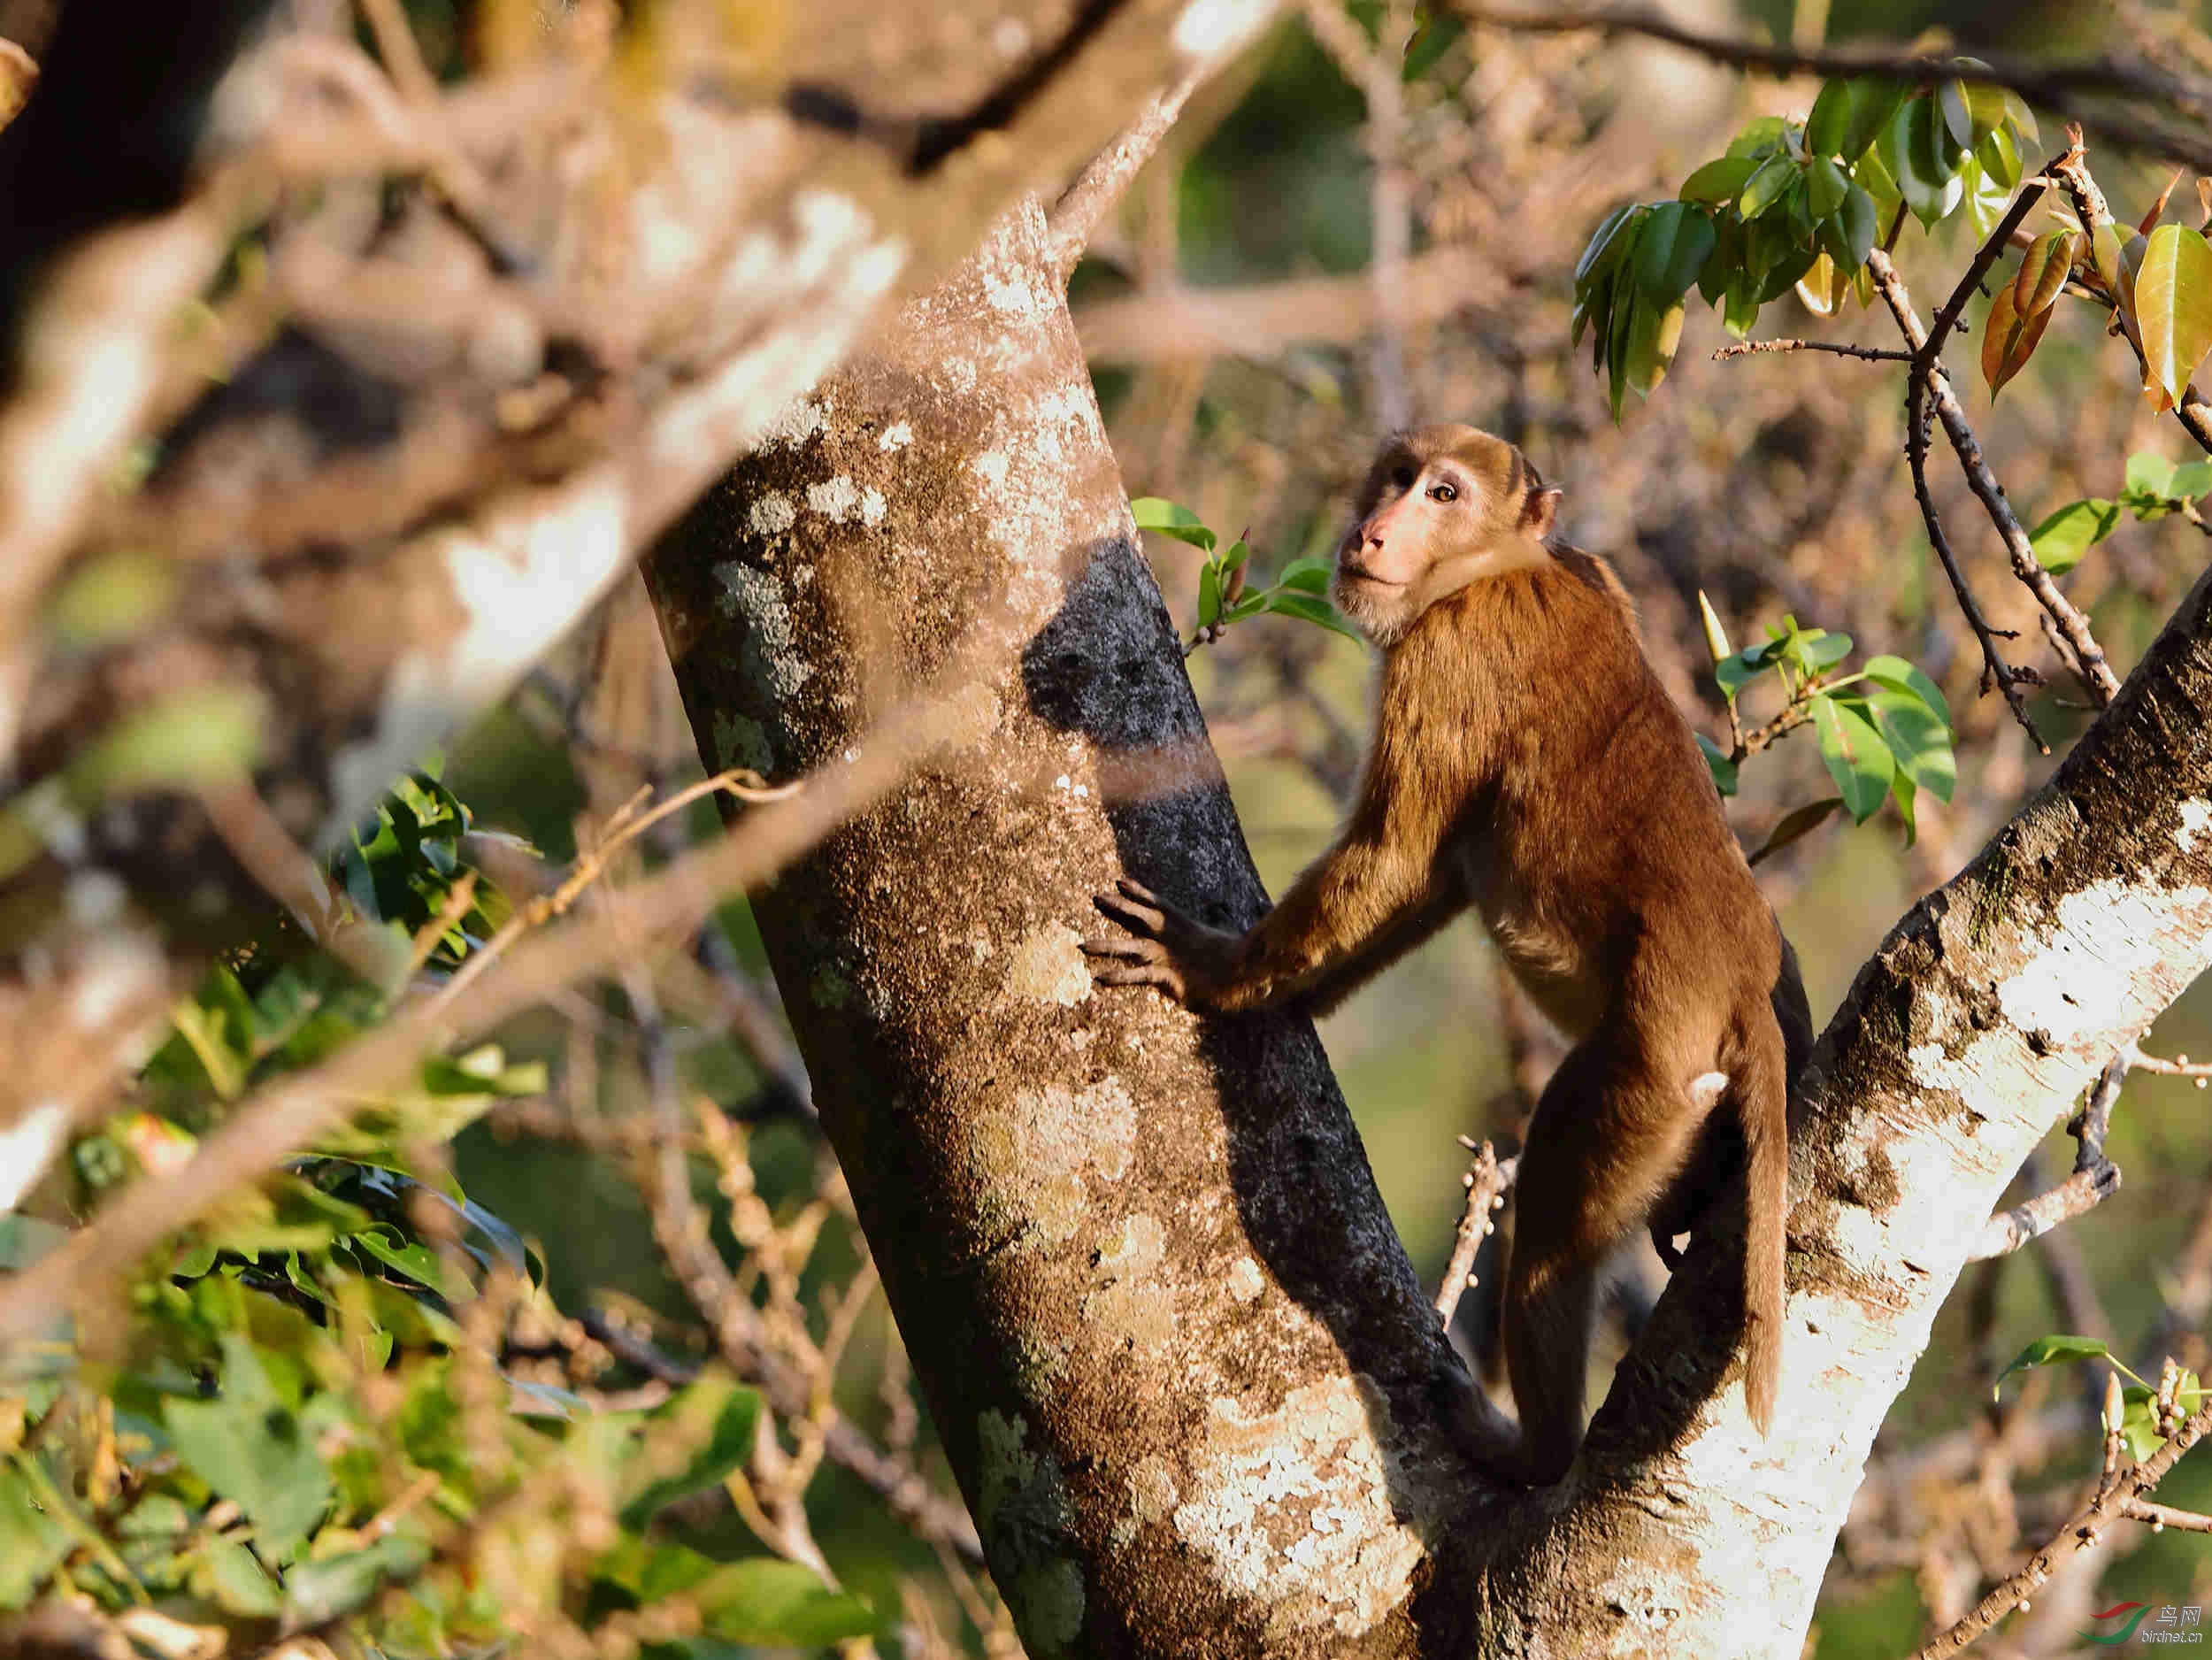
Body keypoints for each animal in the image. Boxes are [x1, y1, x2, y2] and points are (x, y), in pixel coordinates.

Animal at [1075, 425, 1814, 1478]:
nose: (1374, 530)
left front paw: (1214, 974)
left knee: (1553, 1197)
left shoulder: (1450, 653)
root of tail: (1744, 984)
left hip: (1650, 1075)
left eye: (1443, 493)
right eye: (1396, 476)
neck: (1502, 566)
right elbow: (1432, 878)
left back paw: (1533, 1454)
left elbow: (1396, 855)